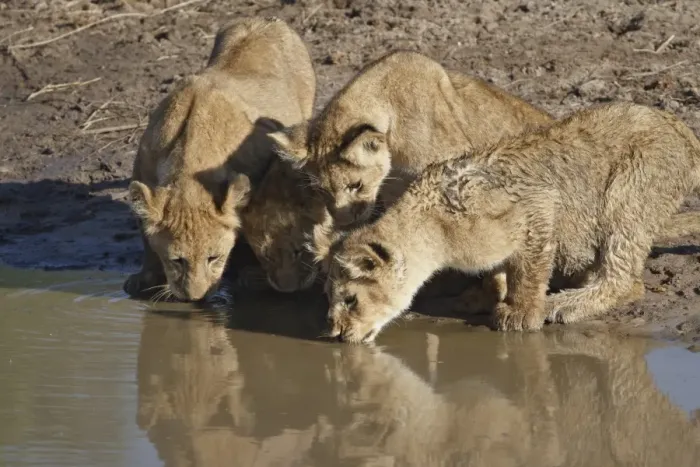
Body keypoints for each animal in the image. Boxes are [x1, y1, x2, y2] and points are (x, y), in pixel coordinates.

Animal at [123, 17, 315, 301]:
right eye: (177, 260)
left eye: (213, 258)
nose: (195, 298)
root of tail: (263, 19)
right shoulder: (142, 174)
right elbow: (146, 235)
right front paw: (145, 277)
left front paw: (251, 273)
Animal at [324, 102, 700, 343]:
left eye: (351, 300)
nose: (338, 335)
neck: (433, 230)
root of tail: (682, 128)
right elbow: (497, 271)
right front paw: (482, 295)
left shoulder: (538, 203)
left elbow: (529, 270)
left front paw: (521, 312)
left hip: (630, 188)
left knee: (625, 281)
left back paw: (567, 303)